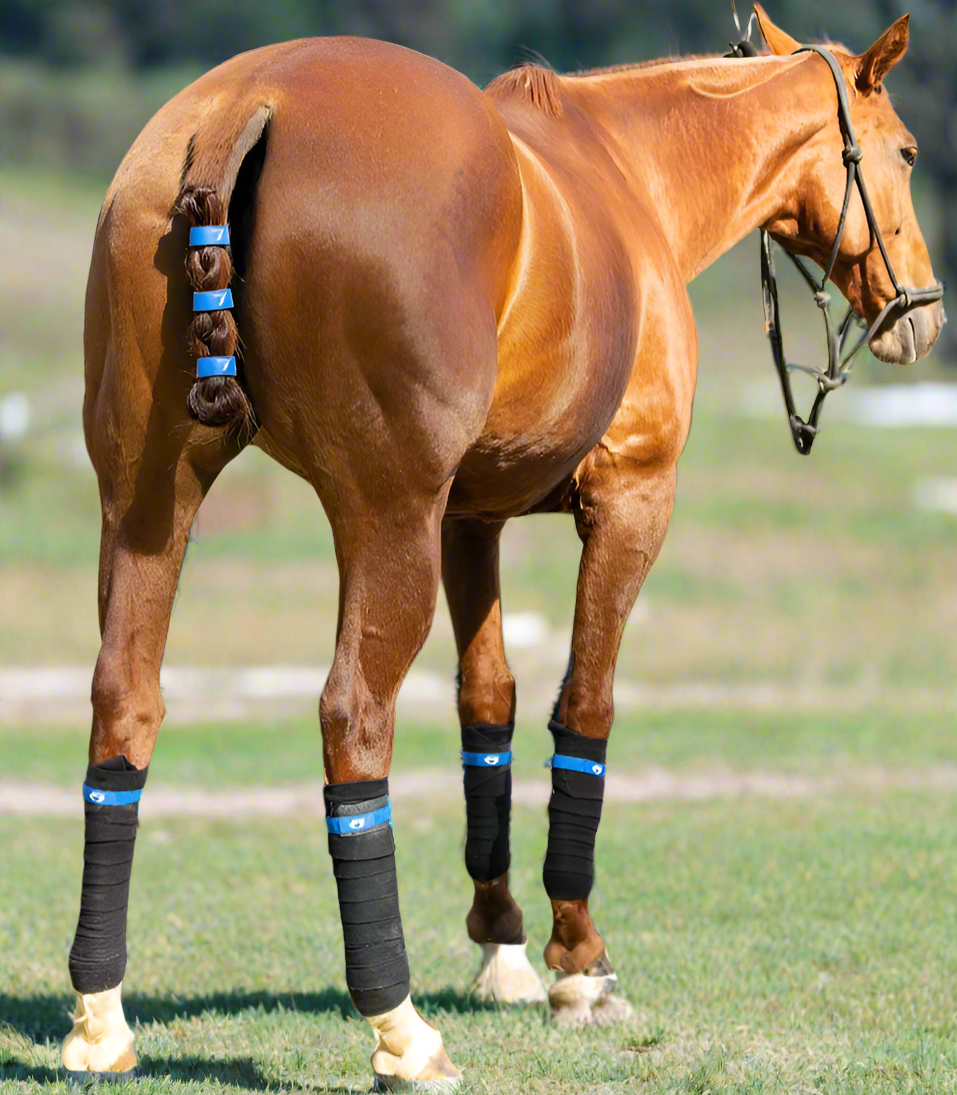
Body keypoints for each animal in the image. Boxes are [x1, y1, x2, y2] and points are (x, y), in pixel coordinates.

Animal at [61, 4, 944, 1088]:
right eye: (906, 150)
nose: (923, 312)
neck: (630, 174)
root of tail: (247, 103)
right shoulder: (631, 499)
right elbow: (584, 711)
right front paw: (577, 960)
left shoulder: (466, 520)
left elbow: (487, 705)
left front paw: (505, 944)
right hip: (381, 517)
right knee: (354, 719)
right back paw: (397, 1025)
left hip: (150, 501)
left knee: (125, 704)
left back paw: (99, 1017)